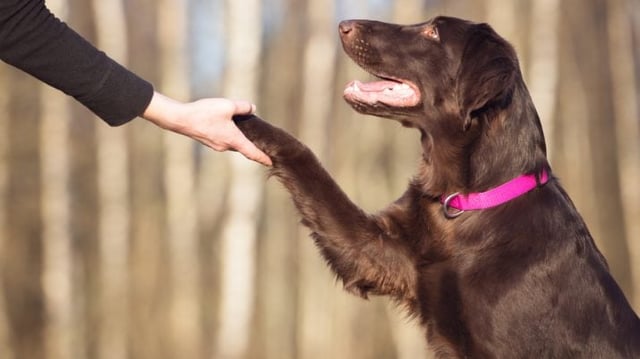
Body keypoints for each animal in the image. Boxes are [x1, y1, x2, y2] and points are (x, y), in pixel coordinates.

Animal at [234, 16, 640, 359]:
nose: (344, 25)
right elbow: (305, 159)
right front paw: (240, 118)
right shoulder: (378, 252)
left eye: (433, 33)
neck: (467, 201)